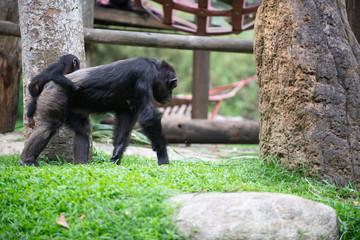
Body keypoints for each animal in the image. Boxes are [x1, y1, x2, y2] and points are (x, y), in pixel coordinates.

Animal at [19, 58, 177, 167]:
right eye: (172, 86)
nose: (171, 95)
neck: (154, 70)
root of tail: (47, 84)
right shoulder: (145, 75)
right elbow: (147, 116)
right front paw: (163, 157)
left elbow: (126, 118)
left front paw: (117, 154)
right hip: (55, 95)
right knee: (50, 126)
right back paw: (27, 160)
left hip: (73, 108)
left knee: (82, 131)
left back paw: (81, 163)